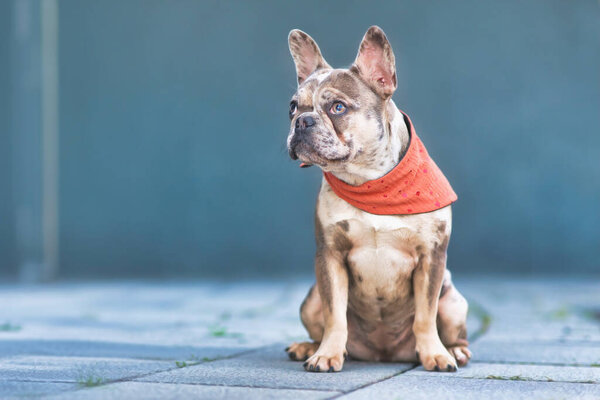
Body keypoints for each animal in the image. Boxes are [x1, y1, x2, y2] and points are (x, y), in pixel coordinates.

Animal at [284, 26, 472, 374]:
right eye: (292, 107)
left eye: (338, 108)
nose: (302, 121)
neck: (371, 182)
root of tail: (382, 355)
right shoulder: (330, 256)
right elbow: (335, 314)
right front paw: (327, 355)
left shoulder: (431, 258)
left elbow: (425, 316)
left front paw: (436, 355)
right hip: (310, 299)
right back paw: (310, 347)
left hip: (454, 302)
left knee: (453, 329)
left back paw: (454, 350)